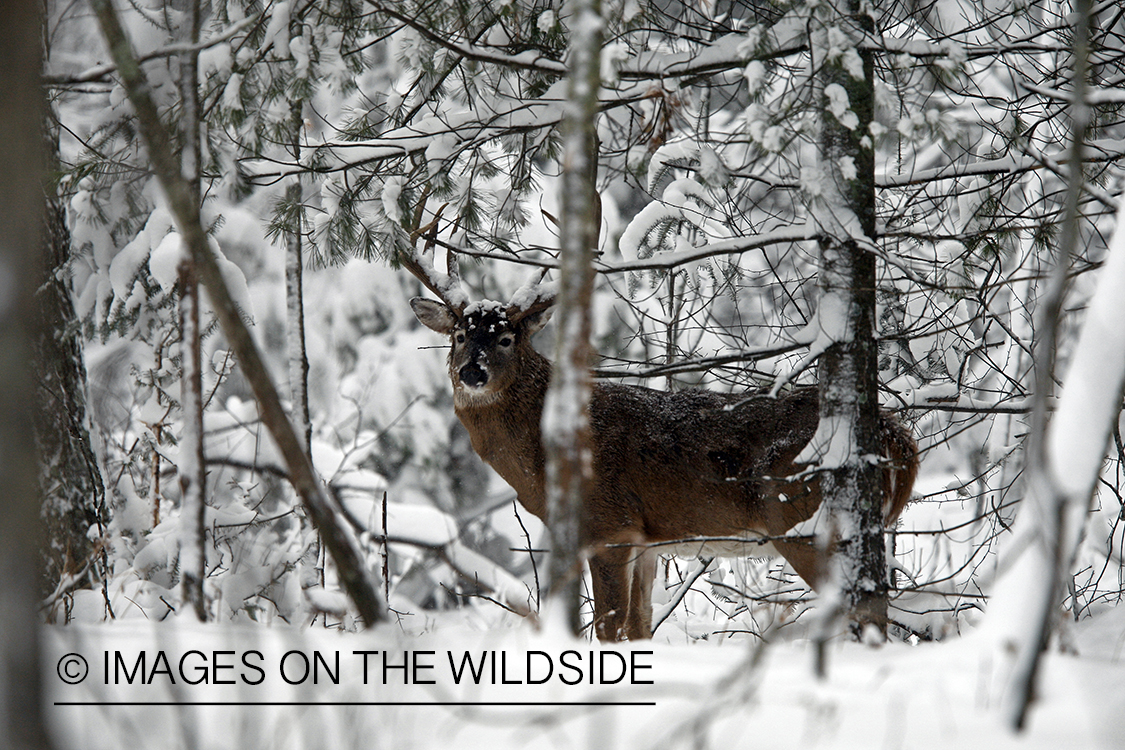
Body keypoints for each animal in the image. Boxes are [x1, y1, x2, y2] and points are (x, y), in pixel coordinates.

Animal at [402, 251, 913, 638]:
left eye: (507, 337)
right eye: (459, 335)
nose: (472, 371)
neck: (543, 456)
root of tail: (899, 438)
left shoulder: (609, 526)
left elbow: (609, 626)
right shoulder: (648, 539)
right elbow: (639, 626)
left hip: (806, 522)